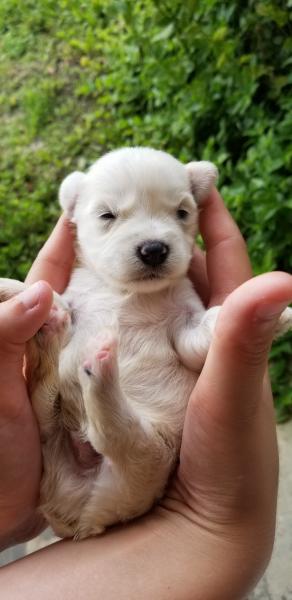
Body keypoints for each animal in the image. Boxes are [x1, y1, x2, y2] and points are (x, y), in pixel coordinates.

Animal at [0, 146, 292, 540]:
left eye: (182, 212)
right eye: (107, 215)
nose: (154, 249)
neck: (129, 291)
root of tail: (82, 516)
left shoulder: (186, 327)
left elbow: (205, 328)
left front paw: (277, 315)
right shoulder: (77, 303)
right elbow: (52, 297)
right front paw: (14, 289)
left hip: (153, 455)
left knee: (117, 437)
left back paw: (98, 367)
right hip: (66, 435)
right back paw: (59, 337)